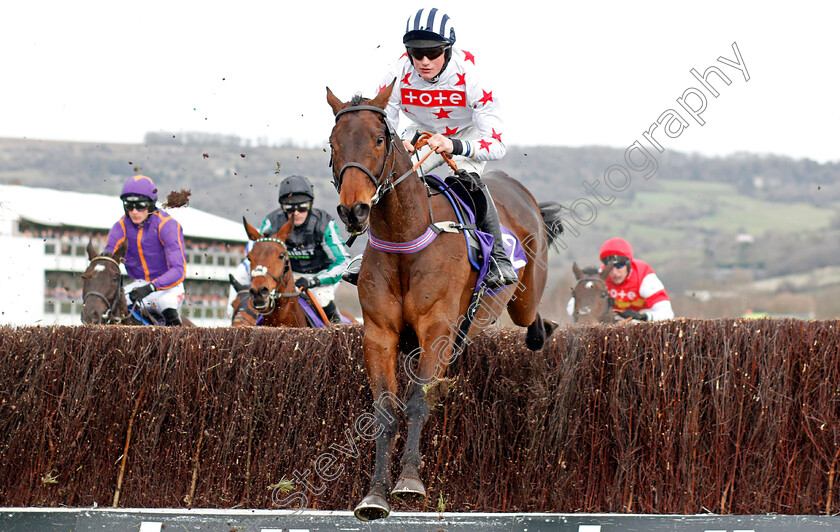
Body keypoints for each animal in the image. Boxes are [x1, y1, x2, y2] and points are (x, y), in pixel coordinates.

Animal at [328, 83, 564, 520]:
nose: (354, 210)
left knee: (531, 319)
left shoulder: (435, 328)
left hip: (525, 296)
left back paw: (544, 330)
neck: (406, 237)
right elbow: (385, 410)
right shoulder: (379, 334)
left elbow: (418, 401)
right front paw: (374, 495)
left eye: (379, 139)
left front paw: (409, 482)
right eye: (333, 143)